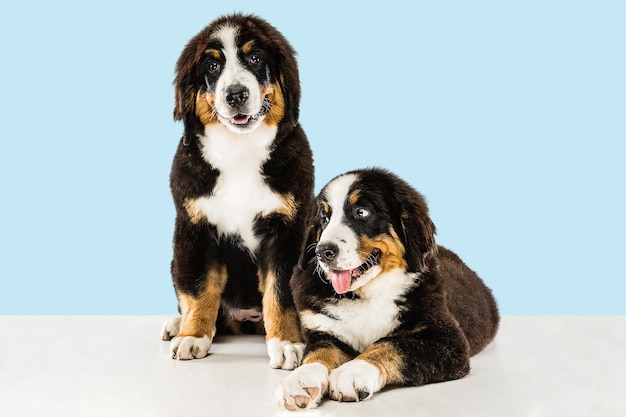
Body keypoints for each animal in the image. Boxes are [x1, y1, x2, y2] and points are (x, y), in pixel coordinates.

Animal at [161, 13, 312, 370]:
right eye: (213, 66)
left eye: (255, 59)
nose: (236, 95)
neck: (240, 151)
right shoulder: (196, 229)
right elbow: (200, 288)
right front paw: (192, 335)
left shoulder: (287, 230)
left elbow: (280, 292)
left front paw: (286, 342)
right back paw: (178, 324)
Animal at [274, 167, 498, 410]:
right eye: (324, 218)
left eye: (361, 212)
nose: (323, 252)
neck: (367, 294)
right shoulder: (325, 331)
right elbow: (319, 353)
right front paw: (302, 379)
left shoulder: (446, 339)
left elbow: (391, 344)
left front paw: (353, 372)